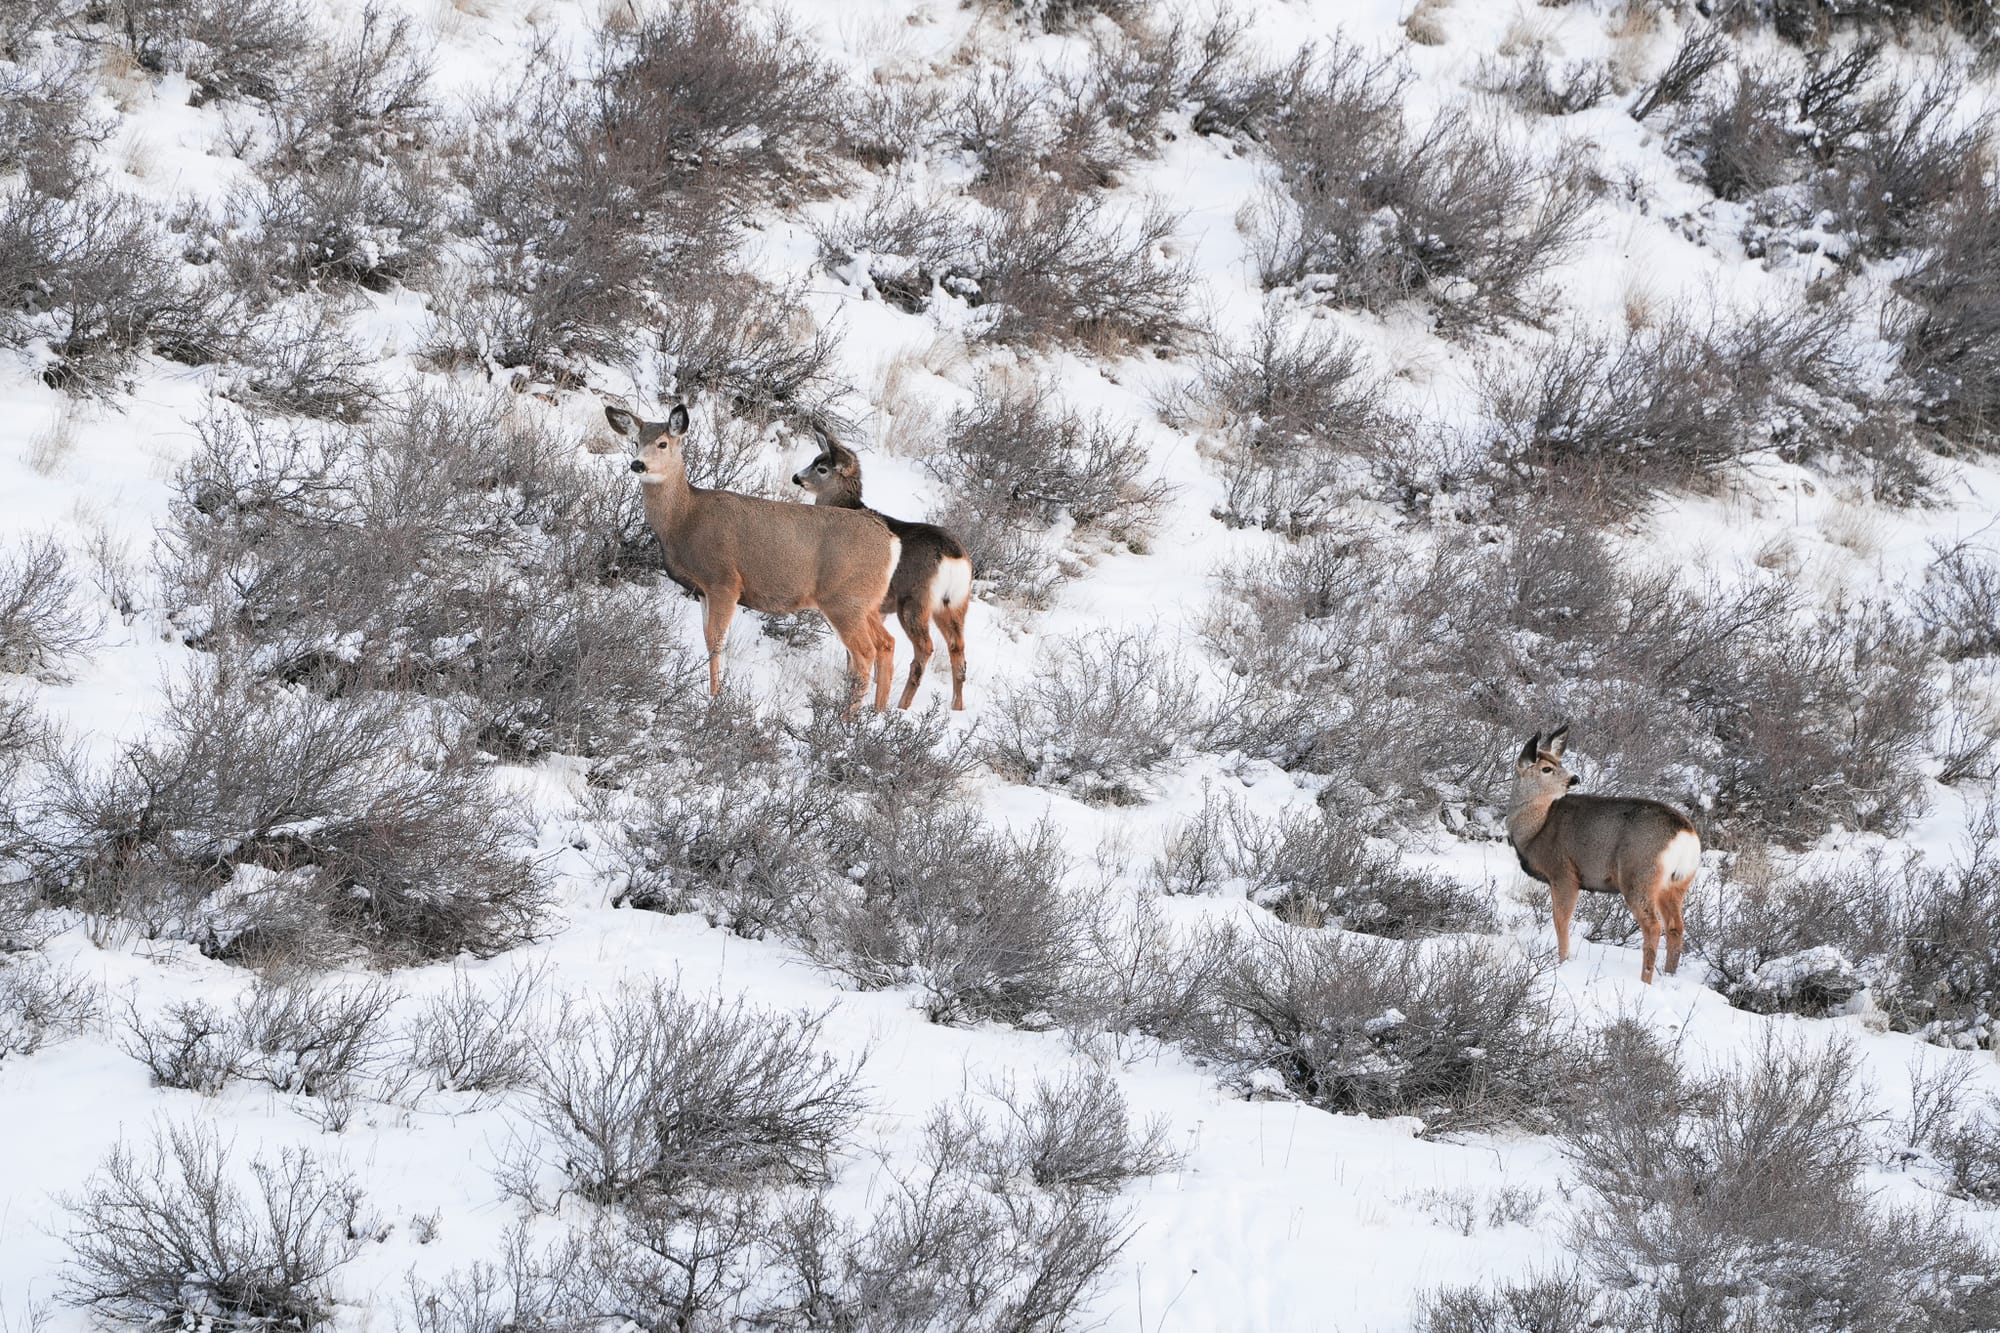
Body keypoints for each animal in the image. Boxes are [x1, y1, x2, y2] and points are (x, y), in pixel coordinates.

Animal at [600, 402, 900, 712]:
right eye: (636, 442)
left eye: (662, 443)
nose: (638, 464)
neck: (685, 519)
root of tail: (891, 541)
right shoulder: (701, 590)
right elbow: (708, 638)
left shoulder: (724, 580)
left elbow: (716, 642)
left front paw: (715, 697)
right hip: (866, 603)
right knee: (886, 643)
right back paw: (877, 713)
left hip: (844, 600)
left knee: (864, 653)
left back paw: (846, 718)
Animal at [788, 434, 976, 704]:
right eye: (815, 459)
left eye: (822, 468)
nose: (796, 477)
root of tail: (954, 557)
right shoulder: (878, 607)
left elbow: (853, 651)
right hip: (955, 603)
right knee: (958, 650)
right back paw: (955, 707)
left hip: (914, 601)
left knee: (925, 648)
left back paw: (903, 705)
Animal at [1504, 720, 1696, 980]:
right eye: (1547, 768)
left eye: (1557, 764)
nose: (1574, 778)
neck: (1535, 829)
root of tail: (1686, 834)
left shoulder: (1563, 872)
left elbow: (1560, 920)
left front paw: (1563, 961)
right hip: (1676, 883)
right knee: (1676, 927)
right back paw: (1669, 975)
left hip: (1638, 875)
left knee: (1653, 926)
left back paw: (1645, 980)